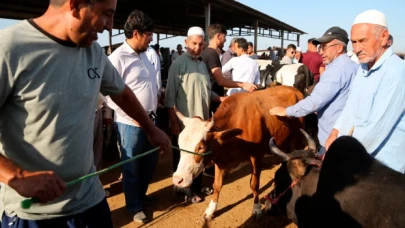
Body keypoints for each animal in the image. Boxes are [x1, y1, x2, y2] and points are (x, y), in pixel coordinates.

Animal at [170, 85, 306, 219]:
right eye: (179, 143)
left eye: (201, 147)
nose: (177, 179)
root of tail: (295, 90)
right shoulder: (219, 160)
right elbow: (217, 185)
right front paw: (211, 209)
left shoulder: (256, 156)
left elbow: (254, 184)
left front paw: (256, 208)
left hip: (297, 140)